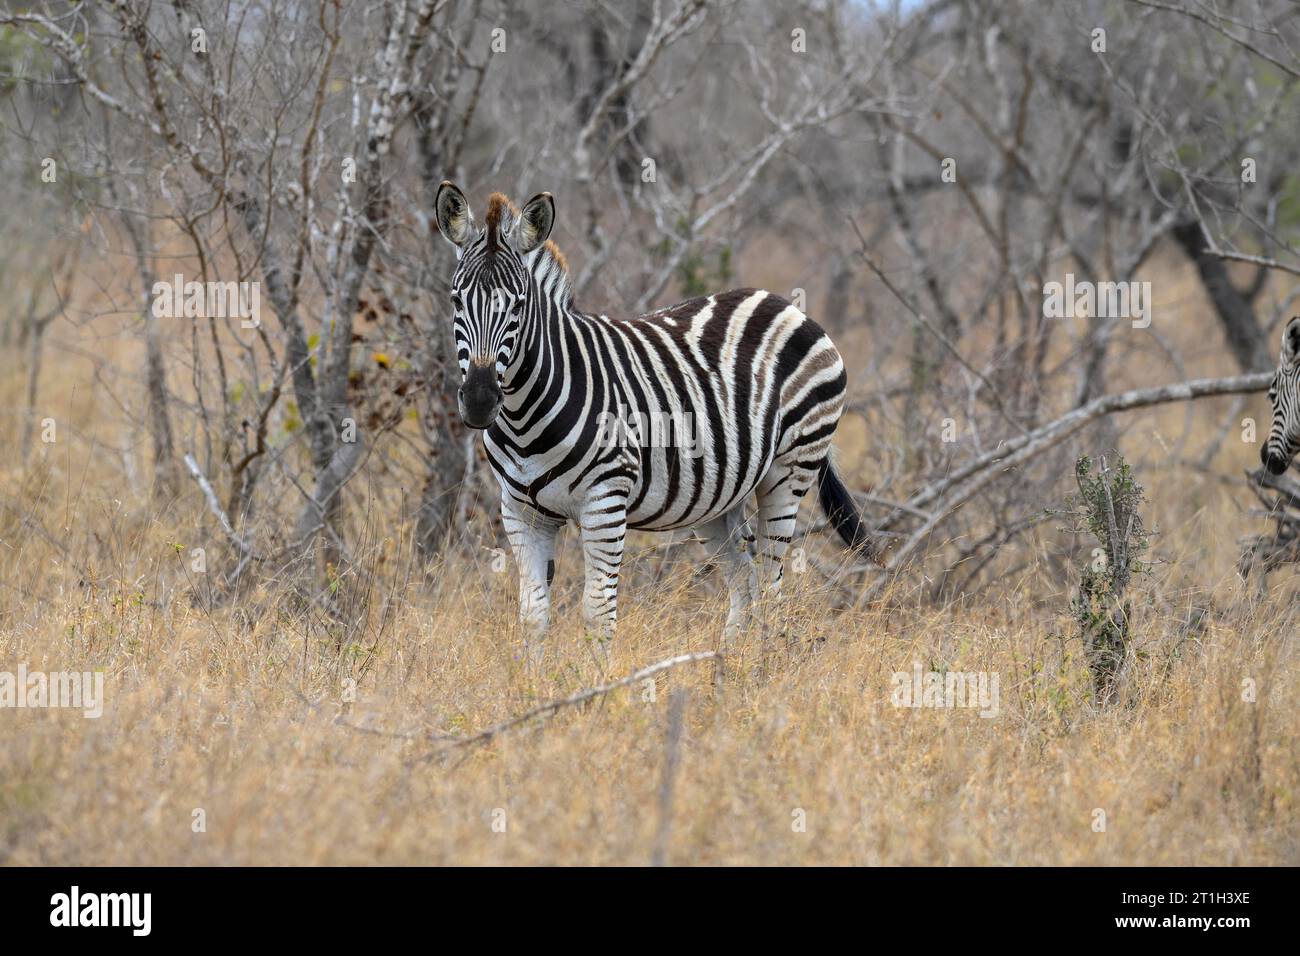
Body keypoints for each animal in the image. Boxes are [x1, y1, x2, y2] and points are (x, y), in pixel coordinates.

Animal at [436, 184, 883, 665]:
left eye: (519, 305)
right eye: (455, 300)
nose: (480, 401)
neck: (524, 419)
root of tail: (781, 302)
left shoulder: (605, 502)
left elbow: (597, 614)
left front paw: (598, 685)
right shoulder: (520, 512)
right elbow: (533, 617)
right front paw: (536, 683)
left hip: (790, 468)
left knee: (771, 585)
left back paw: (759, 671)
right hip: (719, 497)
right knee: (744, 582)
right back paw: (727, 670)